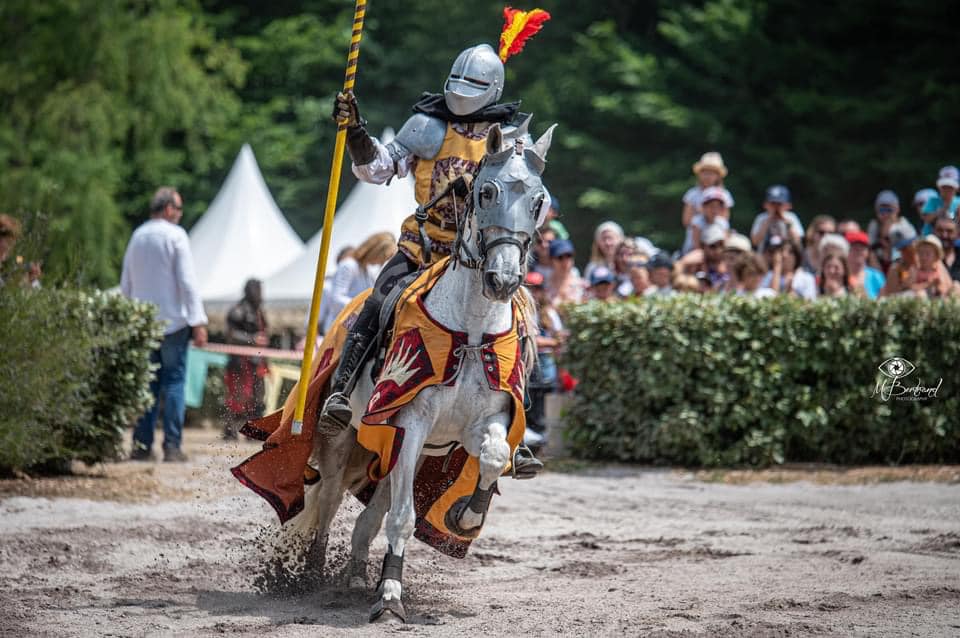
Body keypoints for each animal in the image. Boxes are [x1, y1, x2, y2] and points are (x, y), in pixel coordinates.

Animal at [284, 122, 556, 624]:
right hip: (347, 441)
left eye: (538, 201)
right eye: (486, 192)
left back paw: (356, 575)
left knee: (370, 515)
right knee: (330, 503)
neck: (470, 329)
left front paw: (466, 515)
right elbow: (403, 518)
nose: (503, 280)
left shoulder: (482, 425)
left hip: (392, 450)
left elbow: (493, 458)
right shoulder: (410, 423)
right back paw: (315, 573)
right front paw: (391, 597)